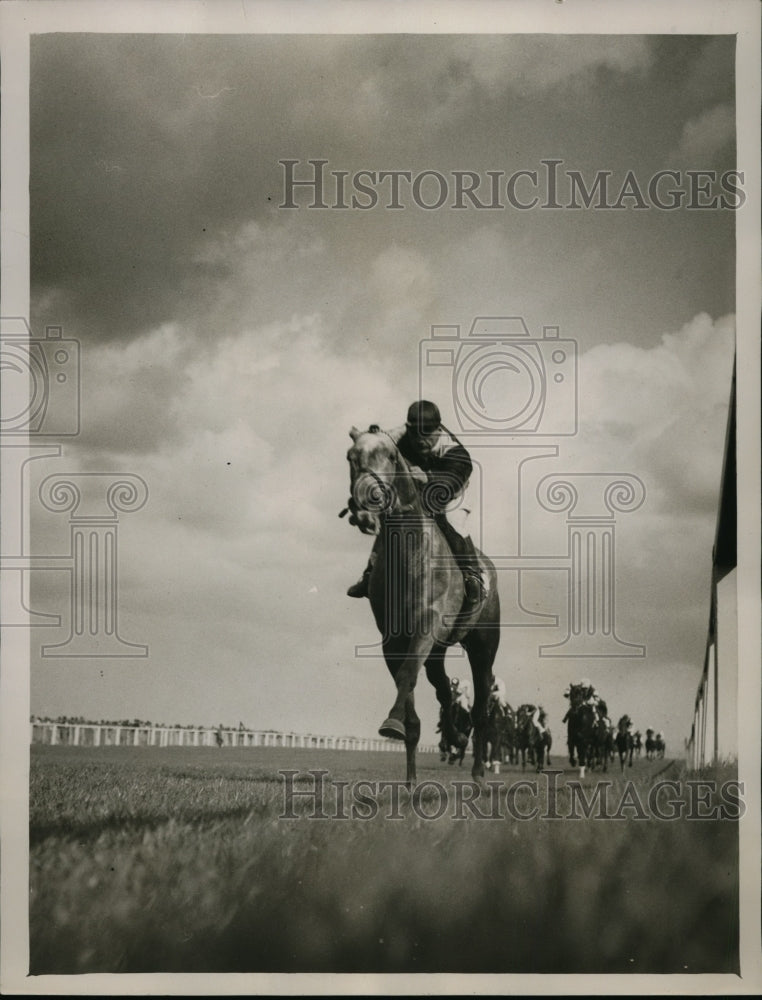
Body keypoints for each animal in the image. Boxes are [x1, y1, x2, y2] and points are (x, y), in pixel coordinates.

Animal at [344, 426, 498, 784]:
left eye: (389, 456)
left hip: (483, 648)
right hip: (438, 652)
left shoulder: (427, 626)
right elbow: (409, 692)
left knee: (481, 707)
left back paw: (479, 773)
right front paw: (411, 780)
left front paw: (392, 723)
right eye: (350, 457)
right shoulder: (393, 640)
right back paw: (457, 738)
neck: (409, 557)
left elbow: (406, 676)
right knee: (443, 689)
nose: (365, 508)